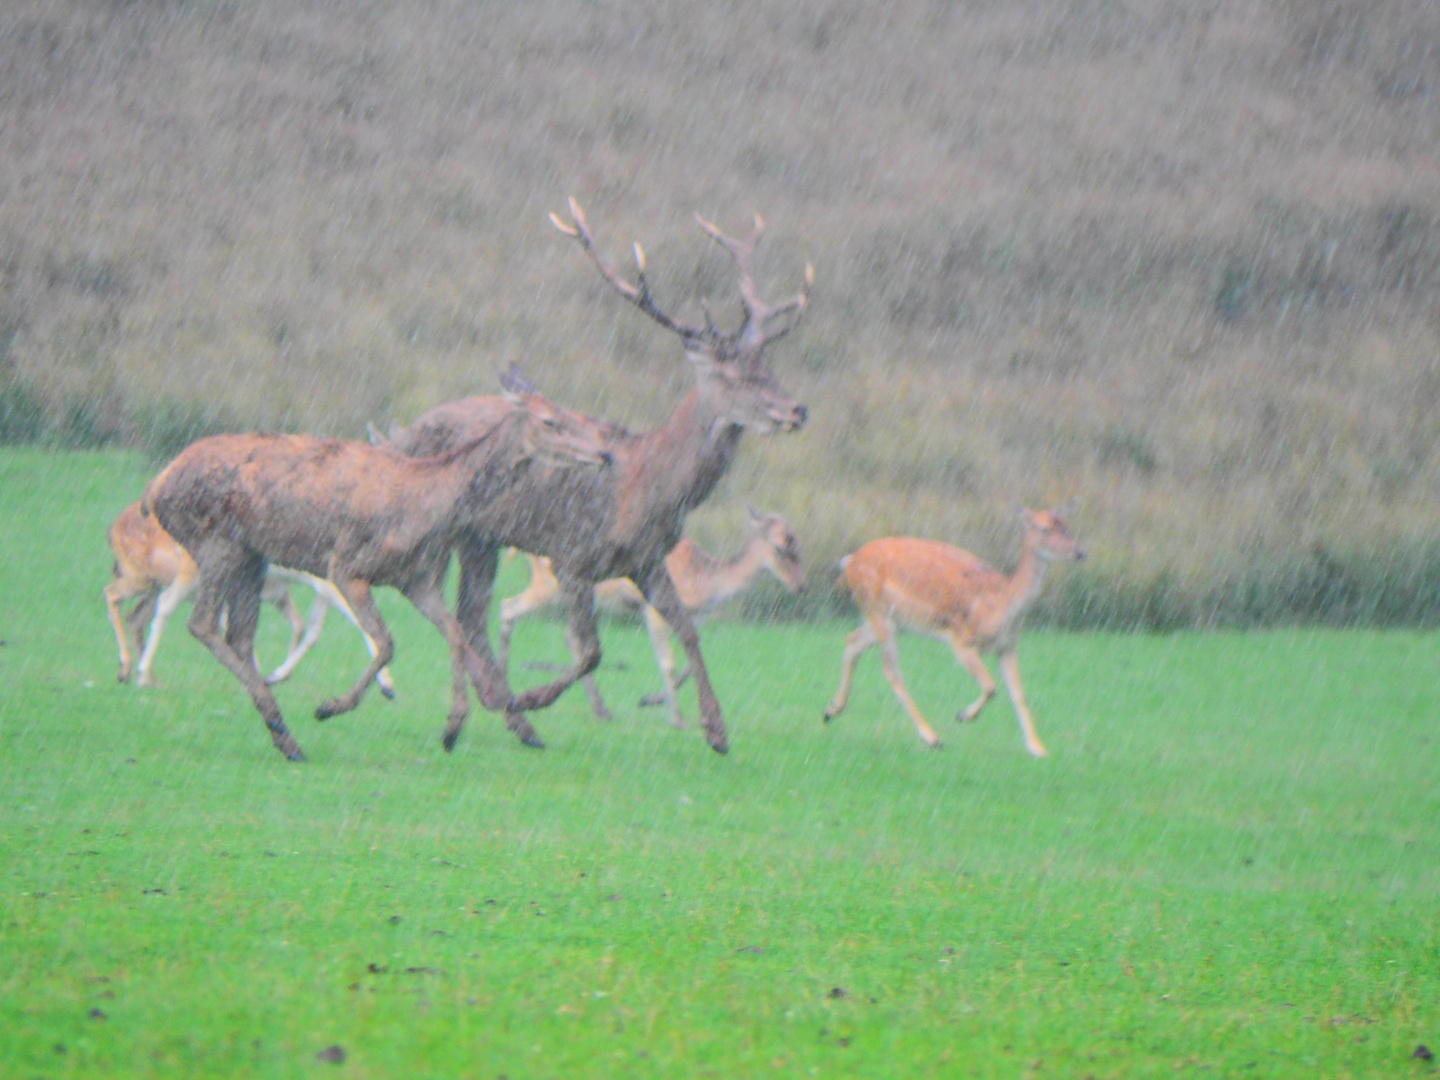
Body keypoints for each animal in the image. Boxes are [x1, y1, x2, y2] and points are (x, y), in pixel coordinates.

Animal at [102, 501, 397, 694]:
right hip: (163, 575)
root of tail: (112, 529)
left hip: (154, 584)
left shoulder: (288, 591)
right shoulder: (325, 584)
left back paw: (141, 674)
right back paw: (136, 672)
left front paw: (273, 676)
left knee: (136, 616)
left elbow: (306, 627)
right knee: (130, 599)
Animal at [147, 377, 613, 766]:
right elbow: (387, 643)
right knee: (202, 624)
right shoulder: (347, 565)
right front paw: (330, 707)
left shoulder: (414, 578)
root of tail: (156, 486)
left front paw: (452, 729)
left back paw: (285, 736)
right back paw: (282, 724)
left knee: (239, 638)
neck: (427, 502)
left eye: (572, 414)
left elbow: (454, 634)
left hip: (251, 555)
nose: (605, 453)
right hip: (216, 540)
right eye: (551, 421)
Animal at [498, 512, 812, 731]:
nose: (801, 586)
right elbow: (668, 661)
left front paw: (651, 699)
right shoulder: (652, 609)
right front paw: (677, 718)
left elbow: (694, 655)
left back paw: (602, 710)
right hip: (547, 586)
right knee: (507, 607)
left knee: (569, 635)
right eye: (779, 547)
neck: (701, 583)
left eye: (797, 541)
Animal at [823, 512, 1082, 754]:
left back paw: (831, 710)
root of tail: (849, 562)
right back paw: (933, 738)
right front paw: (963, 715)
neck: (1000, 603)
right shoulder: (961, 639)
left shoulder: (1008, 646)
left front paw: (1038, 748)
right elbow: (991, 686)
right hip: (878, 612)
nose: (1079, 552)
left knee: (852, 641)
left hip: (892, 620)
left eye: (1068, 527)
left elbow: (1019, 694)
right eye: (1044, 528)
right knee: (891, 670)